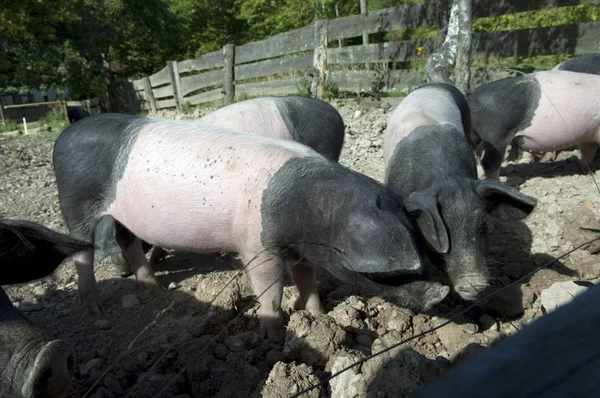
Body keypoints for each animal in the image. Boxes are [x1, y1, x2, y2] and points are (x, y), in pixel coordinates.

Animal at [466, 70, 600, 179]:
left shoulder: (588, 136)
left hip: (476, 136)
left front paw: (587, 172)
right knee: (490, 162)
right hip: (496, 134)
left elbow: (588, 152)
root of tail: (470, 97)